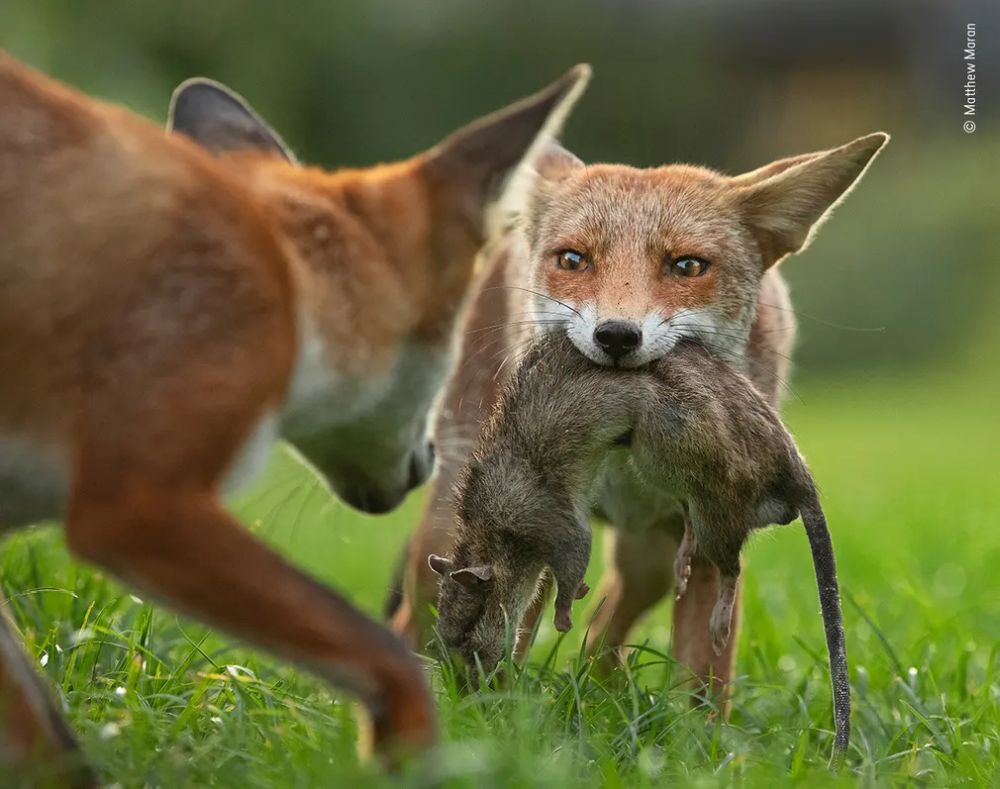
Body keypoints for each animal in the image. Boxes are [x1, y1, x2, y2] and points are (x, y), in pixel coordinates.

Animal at [0, 50, 588, 780]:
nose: (428, 465)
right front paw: (415, 758)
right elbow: (389, 657)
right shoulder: (137, 506)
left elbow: (53, 746)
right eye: (447, 356)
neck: (290, 280)